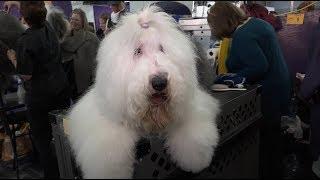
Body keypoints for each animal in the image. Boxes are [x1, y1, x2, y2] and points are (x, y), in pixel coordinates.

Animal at [67, 5, 220, 179]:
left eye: (162, 48)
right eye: (137, 51)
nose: (160, 82)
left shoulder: (191, 105)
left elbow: (192, 131)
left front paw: (195, 160)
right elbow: (108, 149)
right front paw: (111, 172)